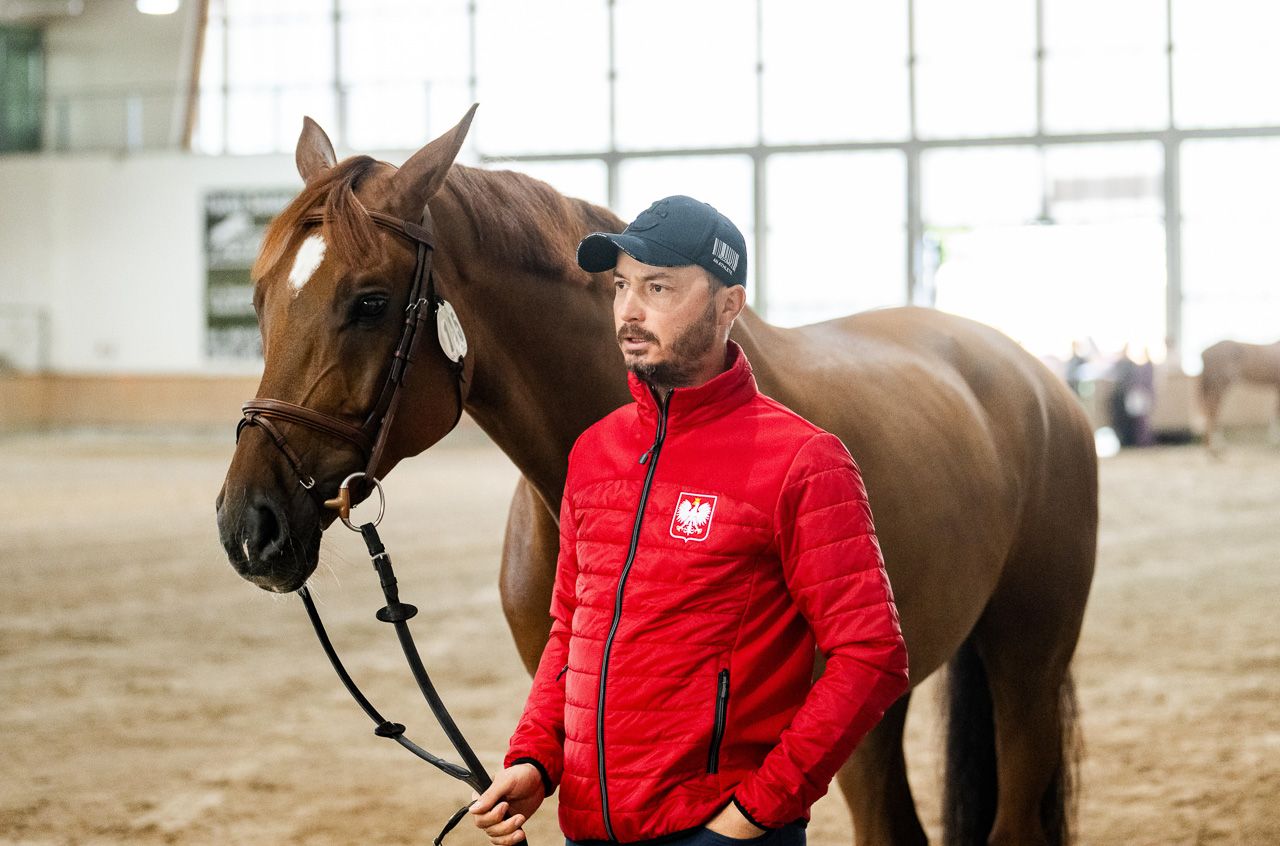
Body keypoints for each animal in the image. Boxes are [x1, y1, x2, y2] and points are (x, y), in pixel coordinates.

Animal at [215, 107, 1097, 846]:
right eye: (259, 300)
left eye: (368, 302)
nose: (247, 525)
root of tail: (1038, 379)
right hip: (877, 707)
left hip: (1024, 661)